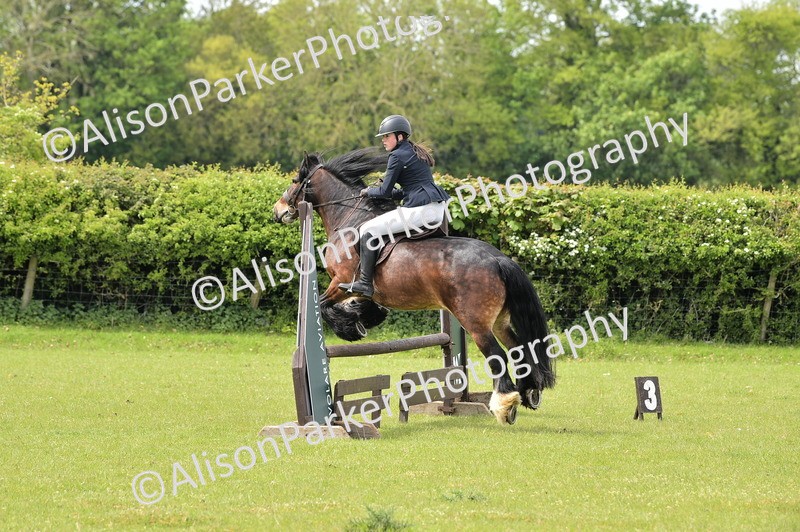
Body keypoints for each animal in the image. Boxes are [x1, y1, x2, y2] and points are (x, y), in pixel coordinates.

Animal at [272, 147, 555, 425]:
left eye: (295, 180)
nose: (278, 210)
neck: (348, 219)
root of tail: (498, 259)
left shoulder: (340, 282)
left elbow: (324, 307)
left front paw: (351, 328)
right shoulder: (360, 290)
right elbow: (360, 303)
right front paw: (364, 317)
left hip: (475, 322)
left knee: (498, 355)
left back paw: (505, 406)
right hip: (499, 320)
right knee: (520, 348)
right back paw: (529, 392)